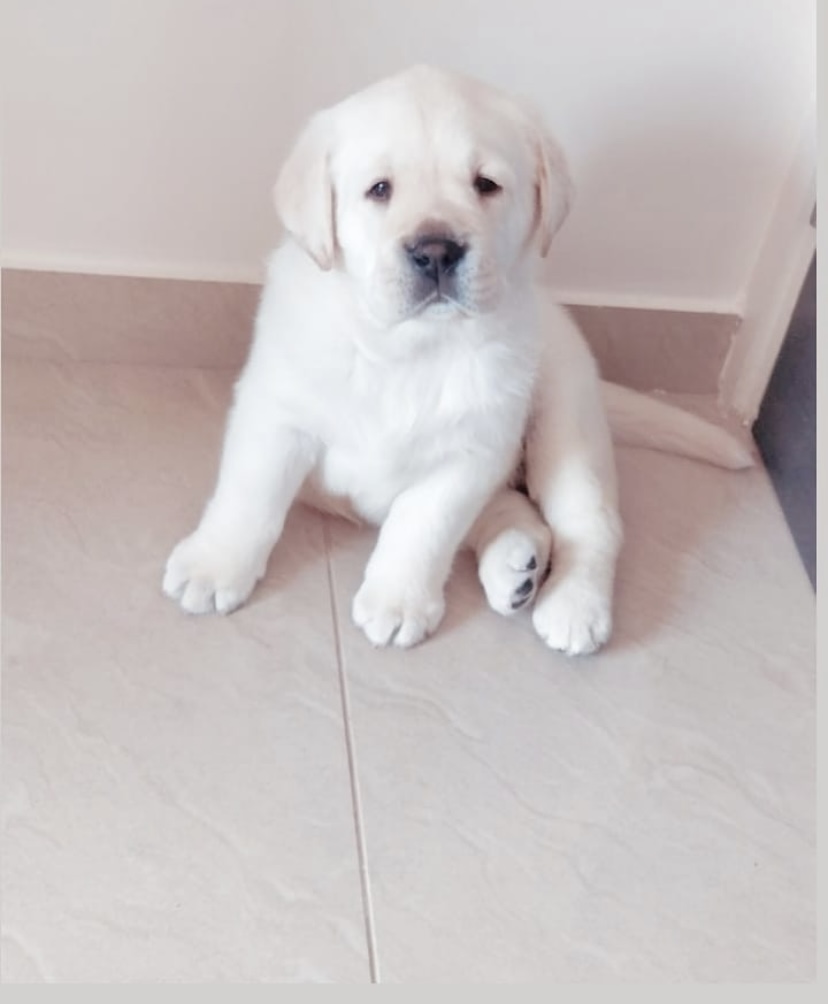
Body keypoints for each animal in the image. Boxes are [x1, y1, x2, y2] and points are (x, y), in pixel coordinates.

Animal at [163, 65, 752, 655]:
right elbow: (250, 495)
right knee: (518, 514)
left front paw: (397, 601)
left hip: (567, 423)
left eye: (485, 184)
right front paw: (214, 566)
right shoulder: (277, 411)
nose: (436, 251)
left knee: (590, 525)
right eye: (379, 189)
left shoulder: (471, 452)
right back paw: (517, 568)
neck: (409, 348)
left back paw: (572, 604)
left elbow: (422, 527)